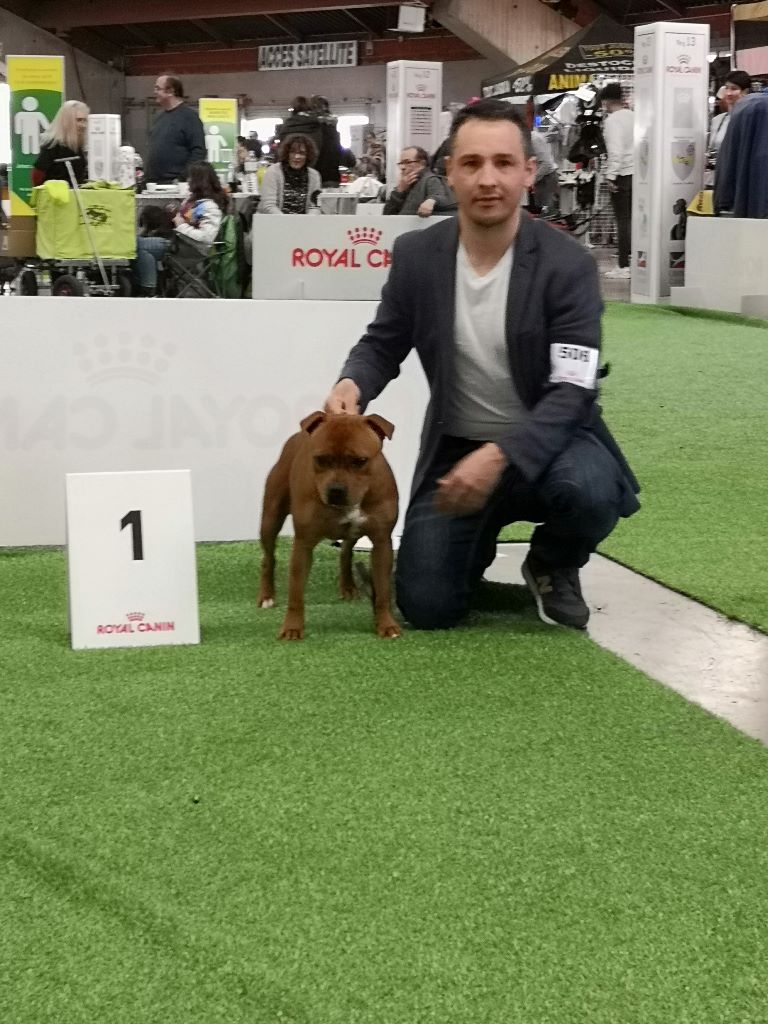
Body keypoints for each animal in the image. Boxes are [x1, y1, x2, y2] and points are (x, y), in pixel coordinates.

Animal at [257, 411, 401, 640]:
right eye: (320, 459)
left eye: (359, 461)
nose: (336, 490)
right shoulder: (303, 544)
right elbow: (296, 593)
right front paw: (291, 628)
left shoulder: (381, 543)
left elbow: (383, 592)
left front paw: (387, 625)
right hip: (271, 519)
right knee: (268, 559)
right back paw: (267, 596)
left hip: (352, 533)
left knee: (346, 552)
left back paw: (348, 587)